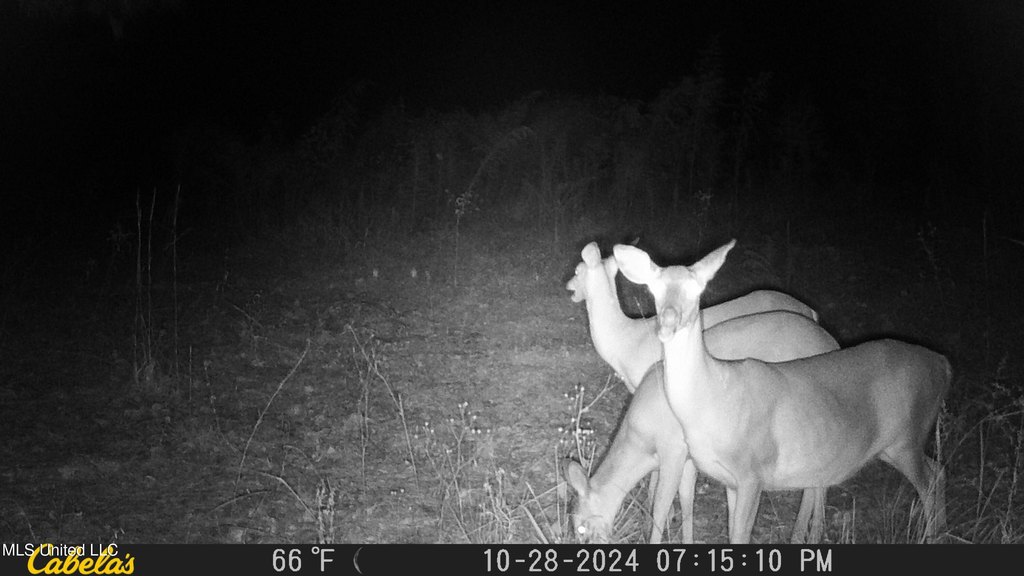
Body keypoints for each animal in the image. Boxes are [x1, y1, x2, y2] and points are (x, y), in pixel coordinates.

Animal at [613, 240, 950, 543]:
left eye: (697, 290)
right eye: (653, 290)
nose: (668, 323)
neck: (715, 396)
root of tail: (943, 364)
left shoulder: (753, 472)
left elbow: (740, 535)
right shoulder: (731, 480)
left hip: (907, 438)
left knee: (932, 480)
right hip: (896, 446)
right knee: (938, 470)